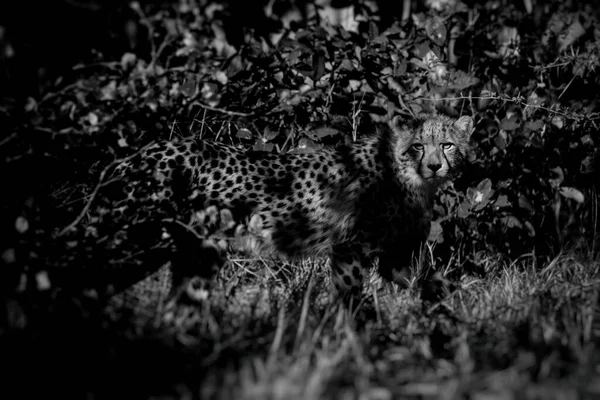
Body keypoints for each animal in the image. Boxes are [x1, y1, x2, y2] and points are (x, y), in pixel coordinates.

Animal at [97, 114, 474, 298]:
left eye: (447, 145)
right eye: (418, 146)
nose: (435, 166)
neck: (408, 179)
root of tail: (143, 151)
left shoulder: (395, 260)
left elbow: (435, 284)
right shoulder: (348, 249)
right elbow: (353, 299)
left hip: (197, 252)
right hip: (142, 241)